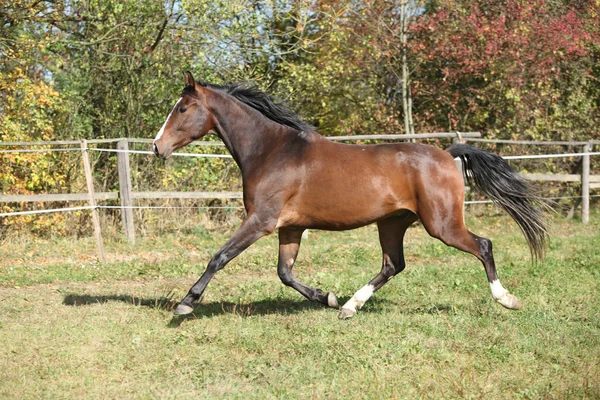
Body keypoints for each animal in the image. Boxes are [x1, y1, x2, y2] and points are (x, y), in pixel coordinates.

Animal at [152, 70, 548, 318]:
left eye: (183, 108)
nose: (157, 146)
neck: (272, 151)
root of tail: (448, 155)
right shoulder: (289, 227)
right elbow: (285, 273)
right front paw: (325, 297)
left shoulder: (262, 221)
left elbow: (219, 257)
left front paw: (186, 303)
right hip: (393, 223)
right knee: (393, 264)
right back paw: (348, 307)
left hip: (442, 225)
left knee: (483, 246)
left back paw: (507, 299)